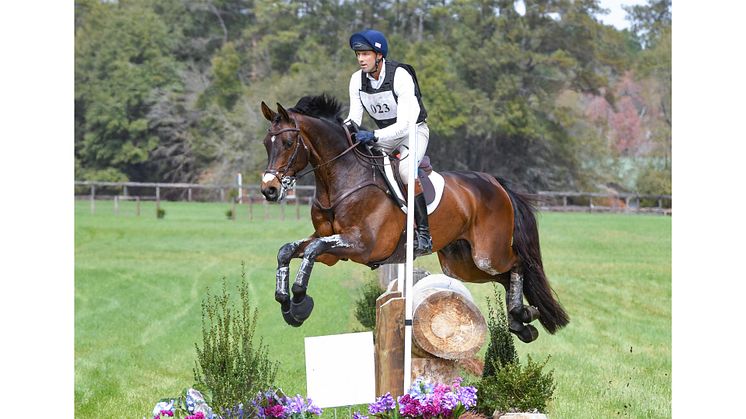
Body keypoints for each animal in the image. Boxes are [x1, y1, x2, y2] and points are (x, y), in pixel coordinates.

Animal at [258, 94, 568, 342]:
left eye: (288, 142)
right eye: (266, 144)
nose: (269, 190)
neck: (342, 179)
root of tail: (495, 183)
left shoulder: (362, 246)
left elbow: (311, 249)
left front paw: (300, 301)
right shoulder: (332, 248)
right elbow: (288, 250)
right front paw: (287, 304)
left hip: (487, 254)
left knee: (517, 264)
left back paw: (521, 316)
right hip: (461, 264)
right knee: (504, 277)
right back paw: (521, 319)